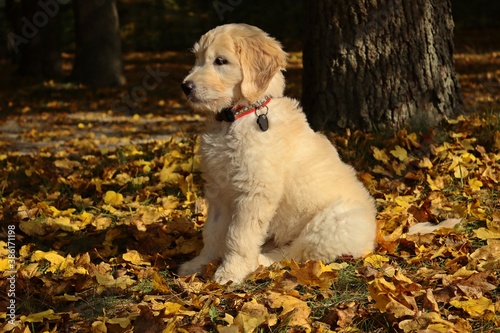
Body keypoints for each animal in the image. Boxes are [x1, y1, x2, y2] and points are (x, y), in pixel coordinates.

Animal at [179, 24, 376, 282]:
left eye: (220, 61)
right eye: (197, 58)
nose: (185, 87)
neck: (239, 117)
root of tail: (372, 238)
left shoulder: (256, 192)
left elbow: (238, 236)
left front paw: (231, 271)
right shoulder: (218, 190)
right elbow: (212, 231)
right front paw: (200, 263)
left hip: (333, 223)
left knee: (295, 253)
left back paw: (261, 261)